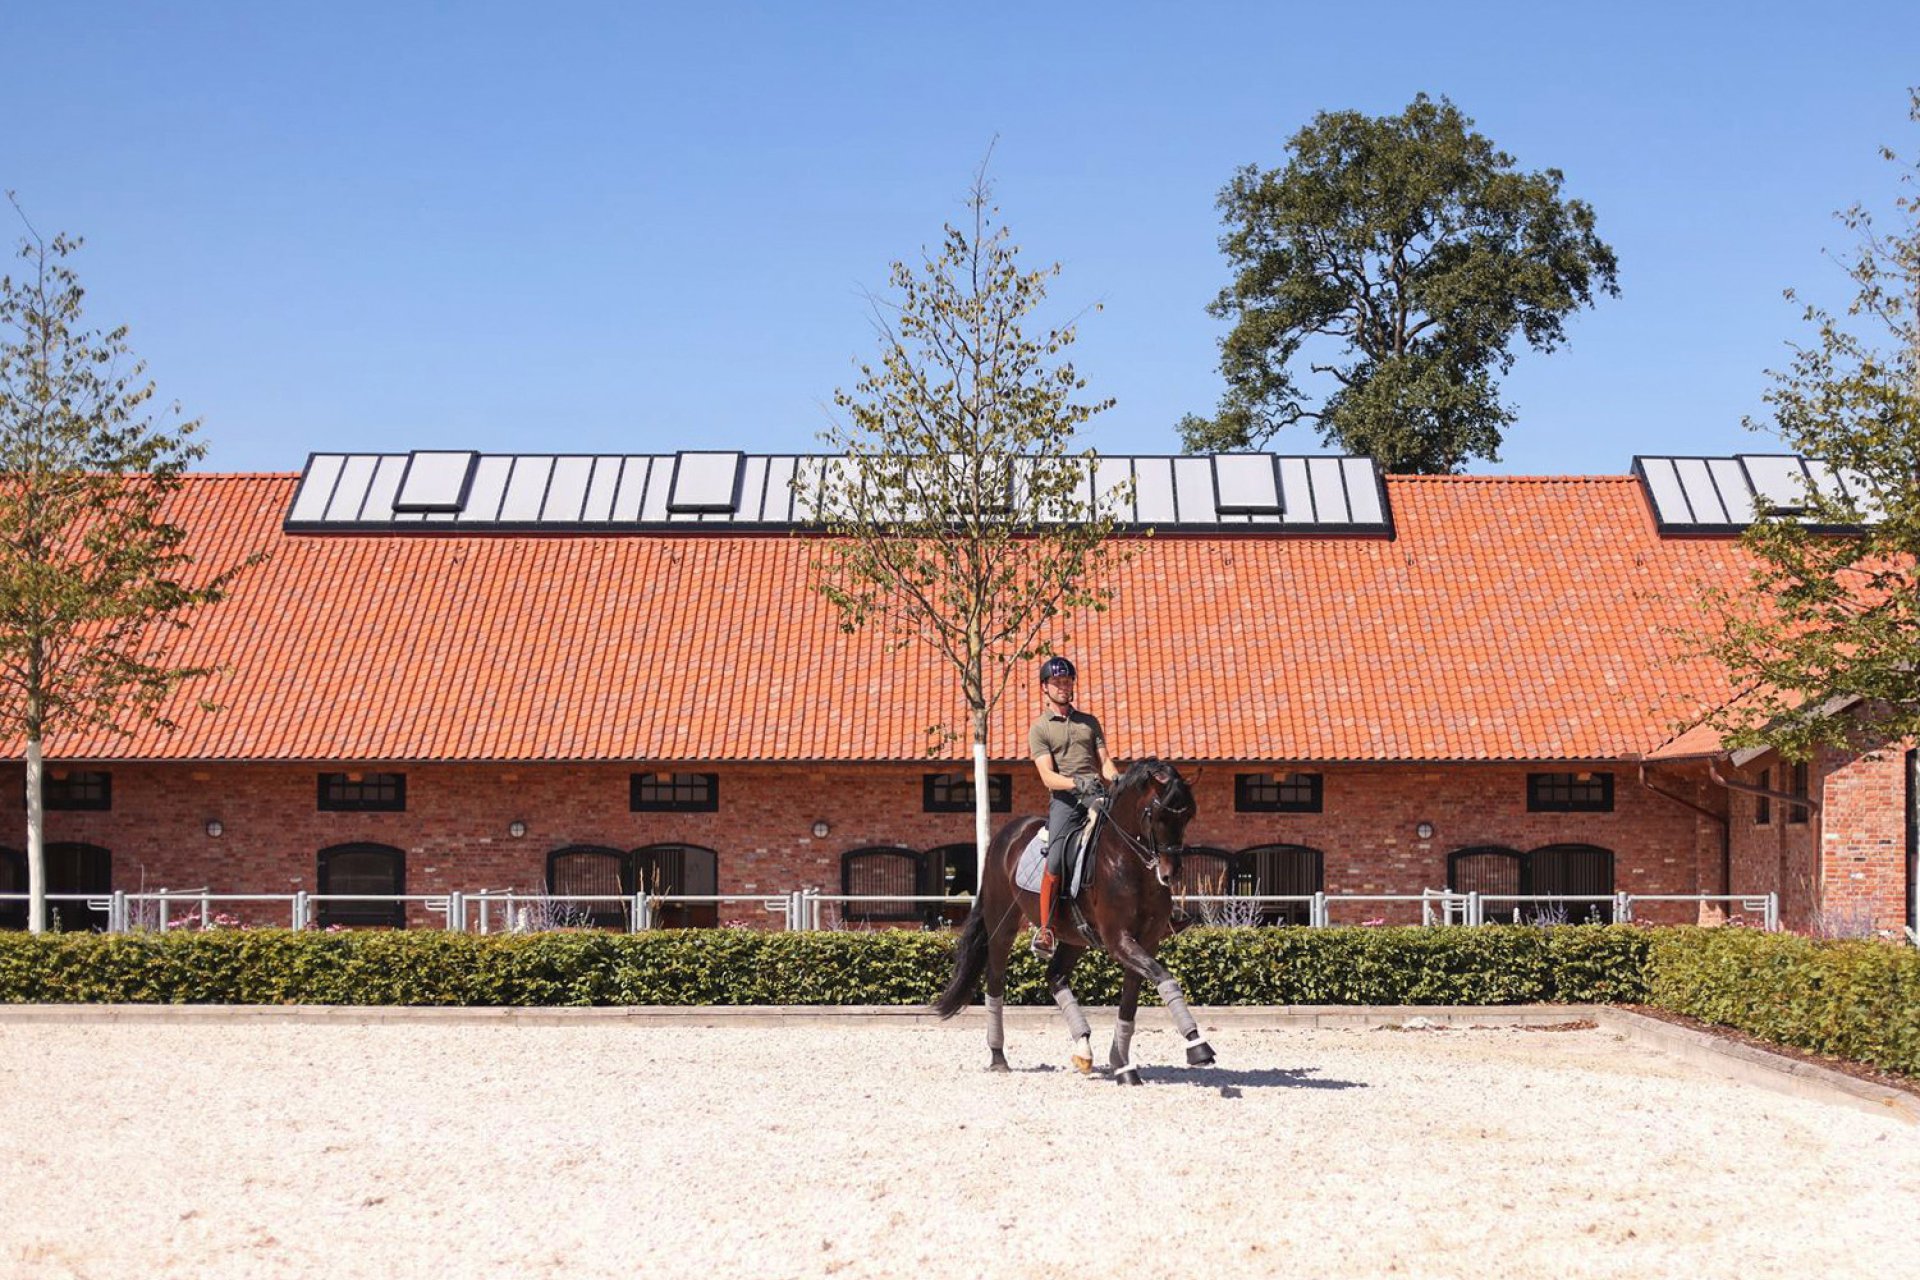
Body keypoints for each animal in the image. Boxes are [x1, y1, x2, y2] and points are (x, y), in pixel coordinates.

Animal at [933, 756, 1213, 1090]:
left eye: (1189, 815)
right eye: (1156, 814)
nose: (1169, 874)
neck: (1127, 862)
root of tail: (1009, 833)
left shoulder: (1146, 941)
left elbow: (1131, 1002)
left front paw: (1123, 1066)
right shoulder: (1119, 940)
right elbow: (1164, 977)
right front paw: (1197, 1046)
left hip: (1074, 937)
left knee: (1055, 977)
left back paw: (1083, 1048)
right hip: (1003, 924)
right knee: (996, 981)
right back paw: (998, 1057)